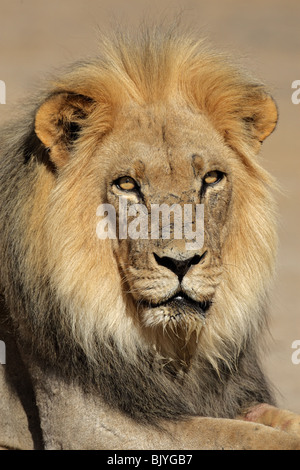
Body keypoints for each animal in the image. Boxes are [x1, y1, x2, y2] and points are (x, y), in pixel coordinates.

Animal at [0, 26, 300, 452]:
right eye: (127, 184)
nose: (181, 263)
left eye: (211, 178)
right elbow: (239, 434)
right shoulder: (84, 425)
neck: (173, 347)